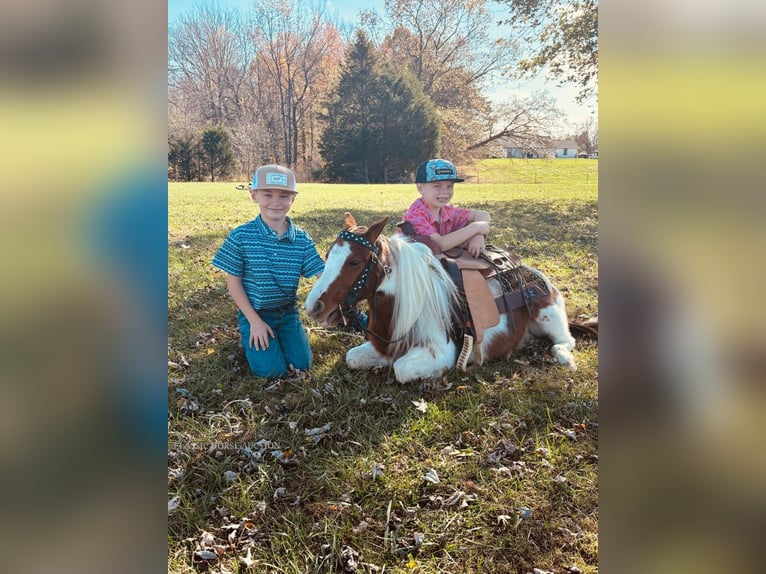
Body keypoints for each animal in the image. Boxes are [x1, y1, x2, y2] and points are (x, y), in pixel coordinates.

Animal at [306, 214, 588, 384]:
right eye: (328, 254)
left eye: (354, 262)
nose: (313, 306)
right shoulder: (382, 344)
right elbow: (353, 357)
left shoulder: (442, 352)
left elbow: (401, 368)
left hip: (549, 316)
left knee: (565, 342)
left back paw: (564, 358)